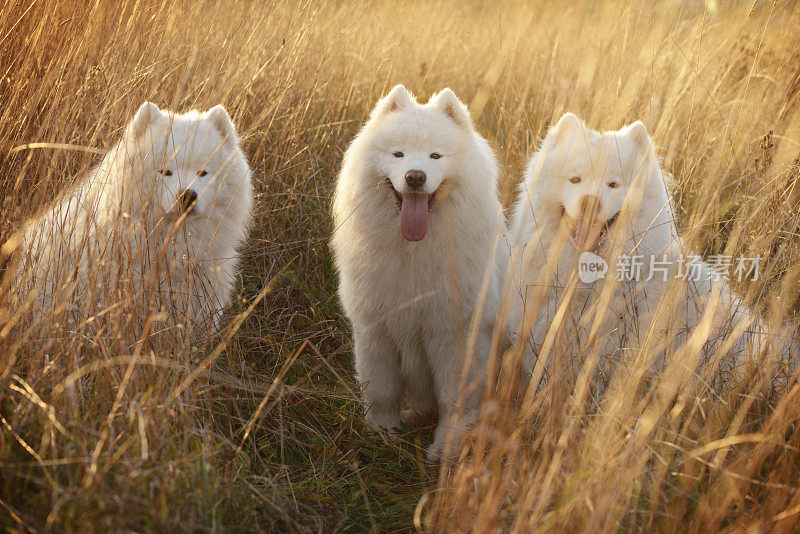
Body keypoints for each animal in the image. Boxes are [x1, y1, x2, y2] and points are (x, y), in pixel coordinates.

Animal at [332, 85, 506, 464]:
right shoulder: (375, 328)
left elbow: (453, 401)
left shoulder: (453, 335)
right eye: (398, 154)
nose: (415, 176)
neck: (413, 251)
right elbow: (381, 391)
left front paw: (445, 448)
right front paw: (383, 435)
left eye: (435, 156)